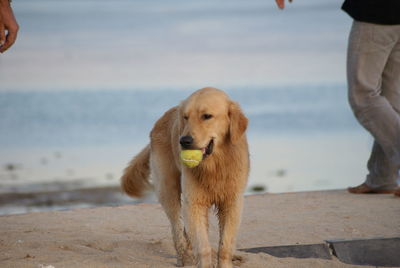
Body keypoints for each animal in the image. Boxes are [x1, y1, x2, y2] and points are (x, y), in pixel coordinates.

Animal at [120, 87, 248, 268]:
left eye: (207, 116)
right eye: (186, 117)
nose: (184, 141)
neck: (214, 166)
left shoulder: (232, 203)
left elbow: (225, 246)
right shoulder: (194, 202)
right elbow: (203, 246)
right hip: (168, 190)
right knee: (177, 230)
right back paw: (185, 259)